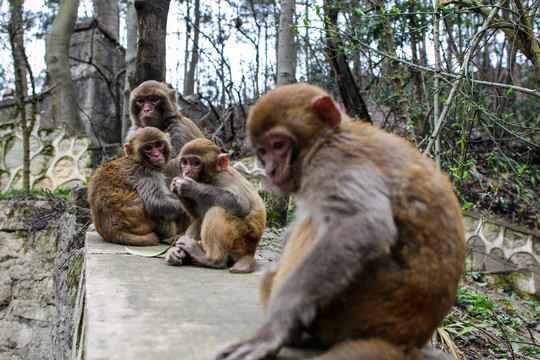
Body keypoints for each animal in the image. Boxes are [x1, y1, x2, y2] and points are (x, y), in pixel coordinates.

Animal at [165, 138, 266, 272]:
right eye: (185, 162)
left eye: (196, 162)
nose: (186, 172)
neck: (211, 178)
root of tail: (251, 252)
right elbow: (198, 214)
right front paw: (176, 188)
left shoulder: (224, 179)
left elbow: (241, 206)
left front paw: (191, 187)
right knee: (200, 218)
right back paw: (181, 253)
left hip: (242, 241)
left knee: (216, 211)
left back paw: (211, 260)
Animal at [213, 83, 466, 358]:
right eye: (262, 151)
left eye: (278, 145)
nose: (270, 169)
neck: (325, 139)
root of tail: (408, 340)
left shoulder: (332, 162)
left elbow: (364, 225)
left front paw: (273, 328)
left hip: (365, 308)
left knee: (317, 225)